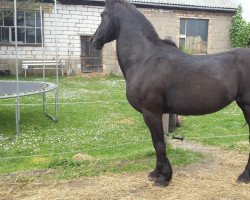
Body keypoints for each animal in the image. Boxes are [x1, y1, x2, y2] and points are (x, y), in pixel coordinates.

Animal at [91, 0, 250, 186]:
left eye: (102, 15)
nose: (94, 40)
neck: (145, 59)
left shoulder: (151, 112)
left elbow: (160, 144)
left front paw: (164, 178)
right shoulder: (152, 114)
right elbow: (155, 142)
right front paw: (156, 173)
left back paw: (244, 176)